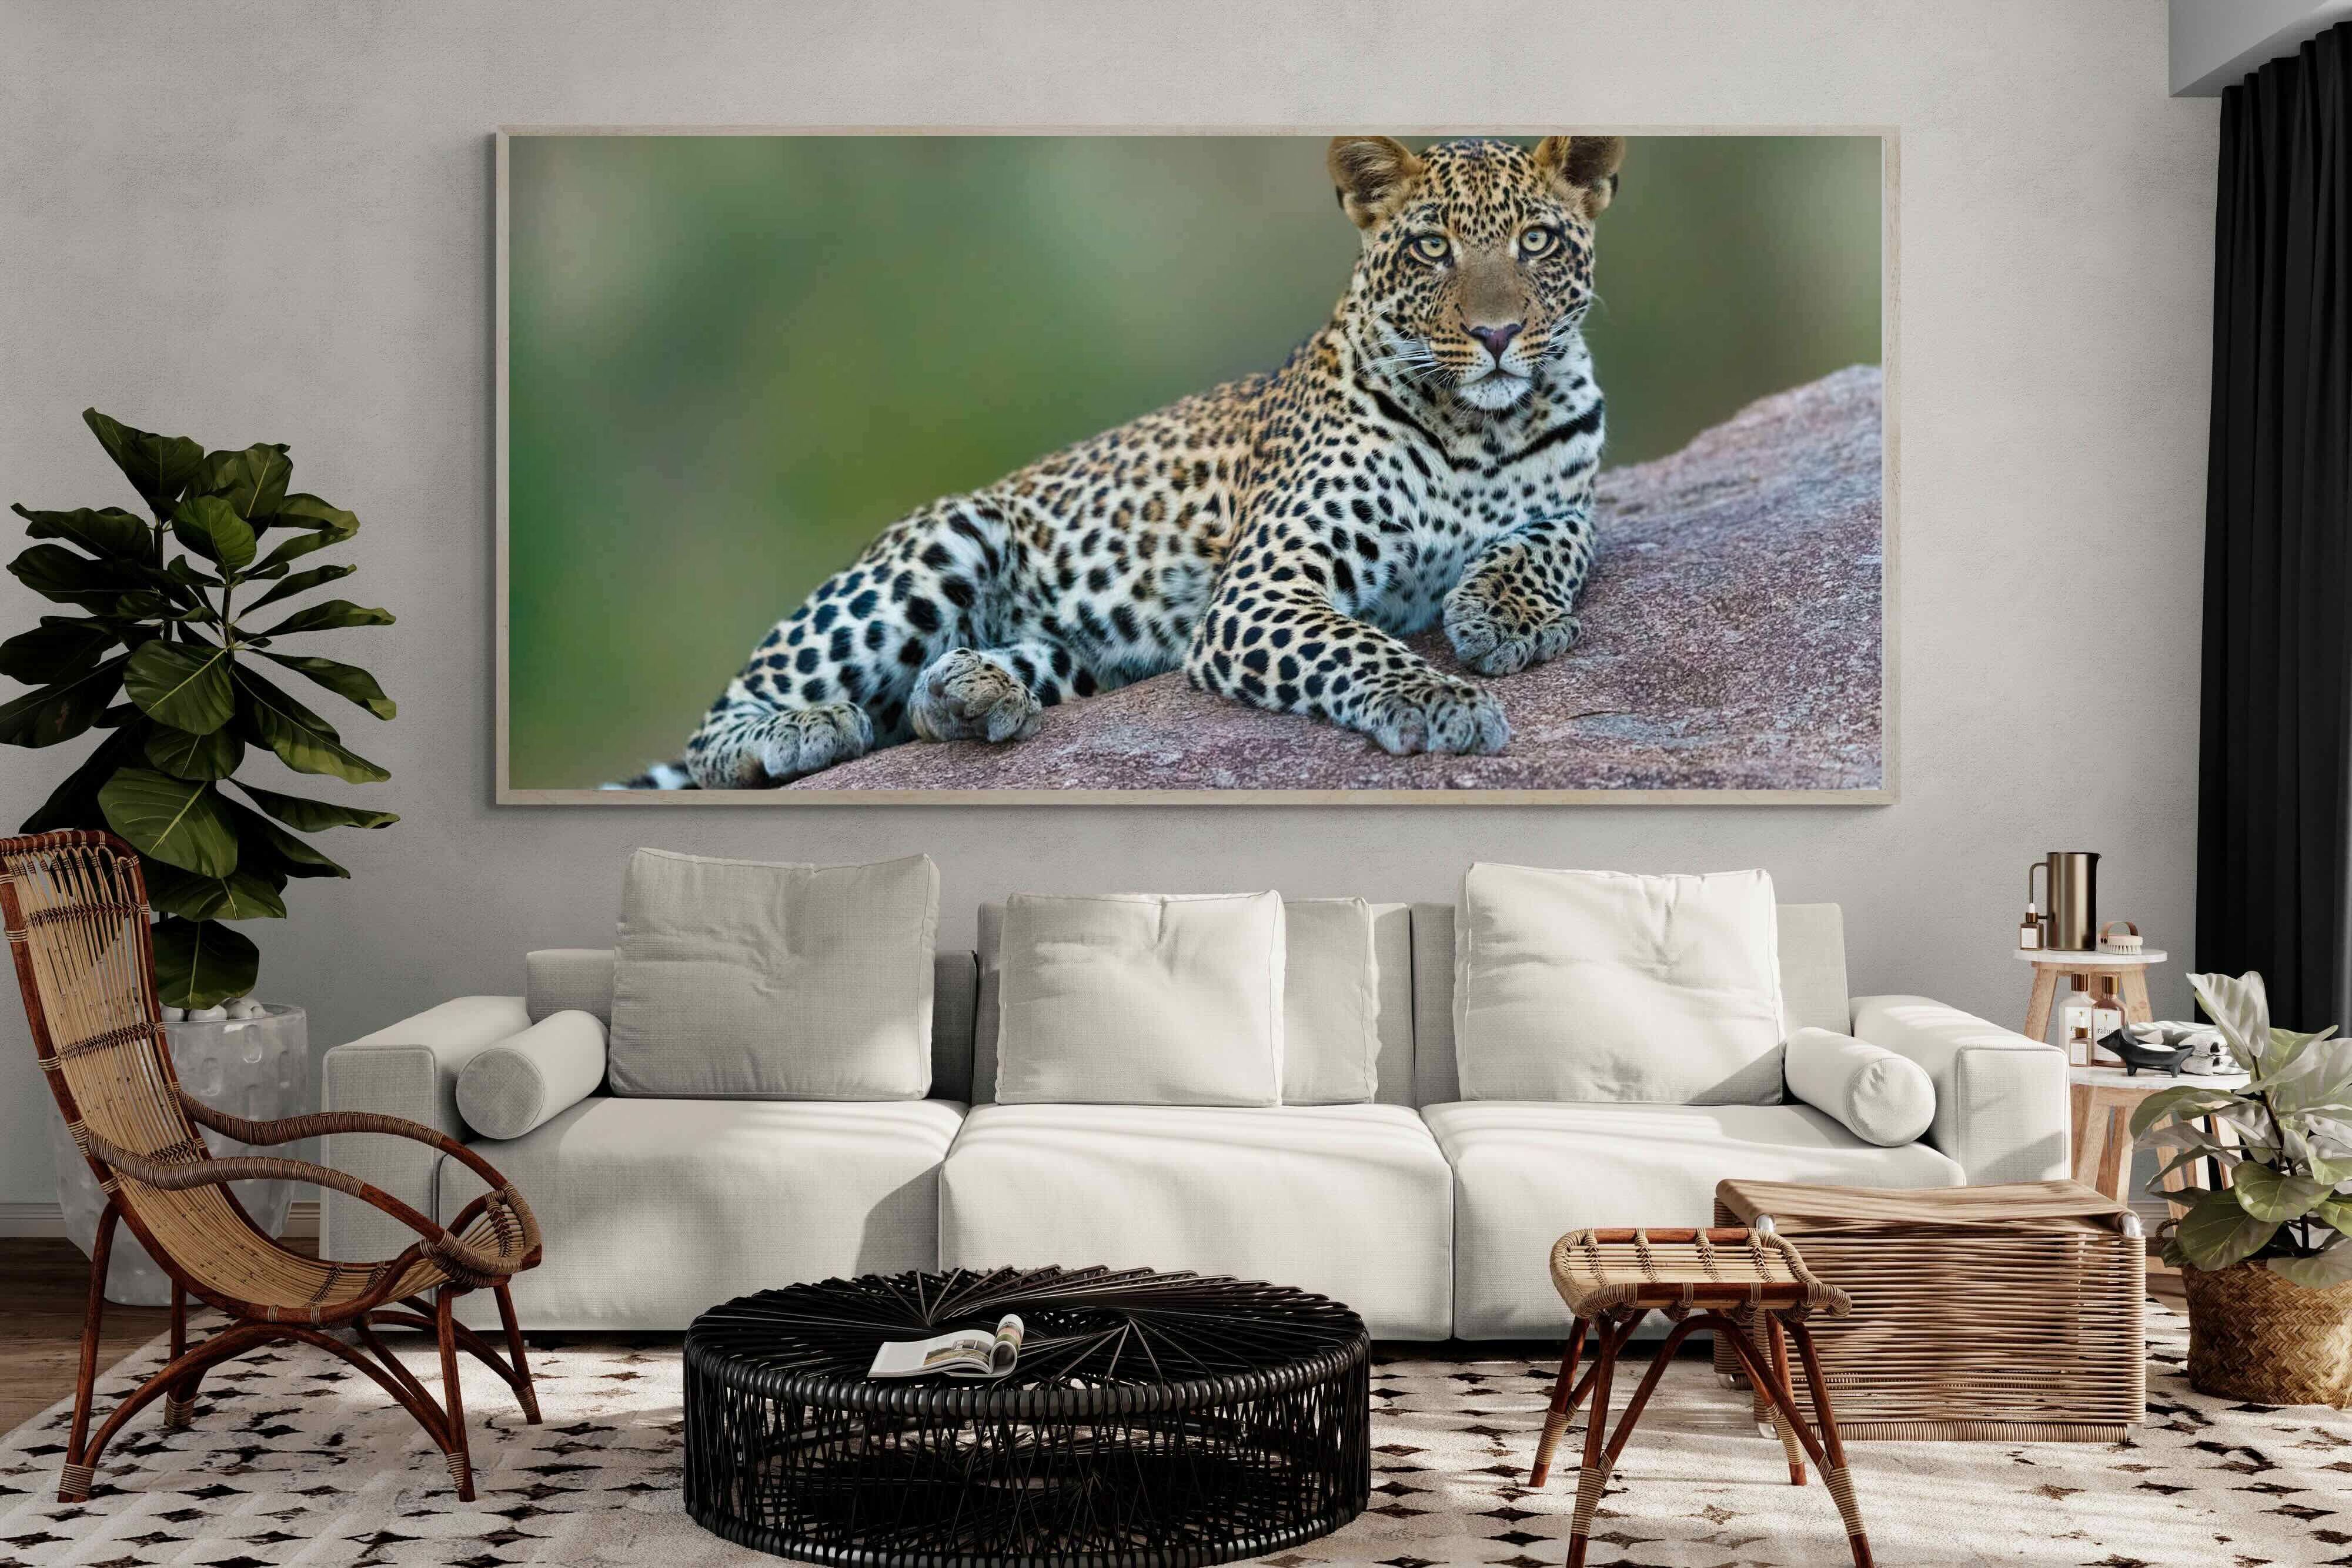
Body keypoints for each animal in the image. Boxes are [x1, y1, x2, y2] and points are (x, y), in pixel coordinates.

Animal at [615, 133, 1626, 789]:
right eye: (1430, 247)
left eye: (1536, 240)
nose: (1497, 335)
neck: (1482, 430)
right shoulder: (1263, 589)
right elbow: (1359, 644)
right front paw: (1440, 698)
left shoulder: (1573, 499)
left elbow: (1555, 539)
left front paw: (1507, 615)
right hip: (946, 539)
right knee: (724, 724)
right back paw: (803, 727)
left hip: (1080, 656)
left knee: (927, 702)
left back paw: (969, 694)